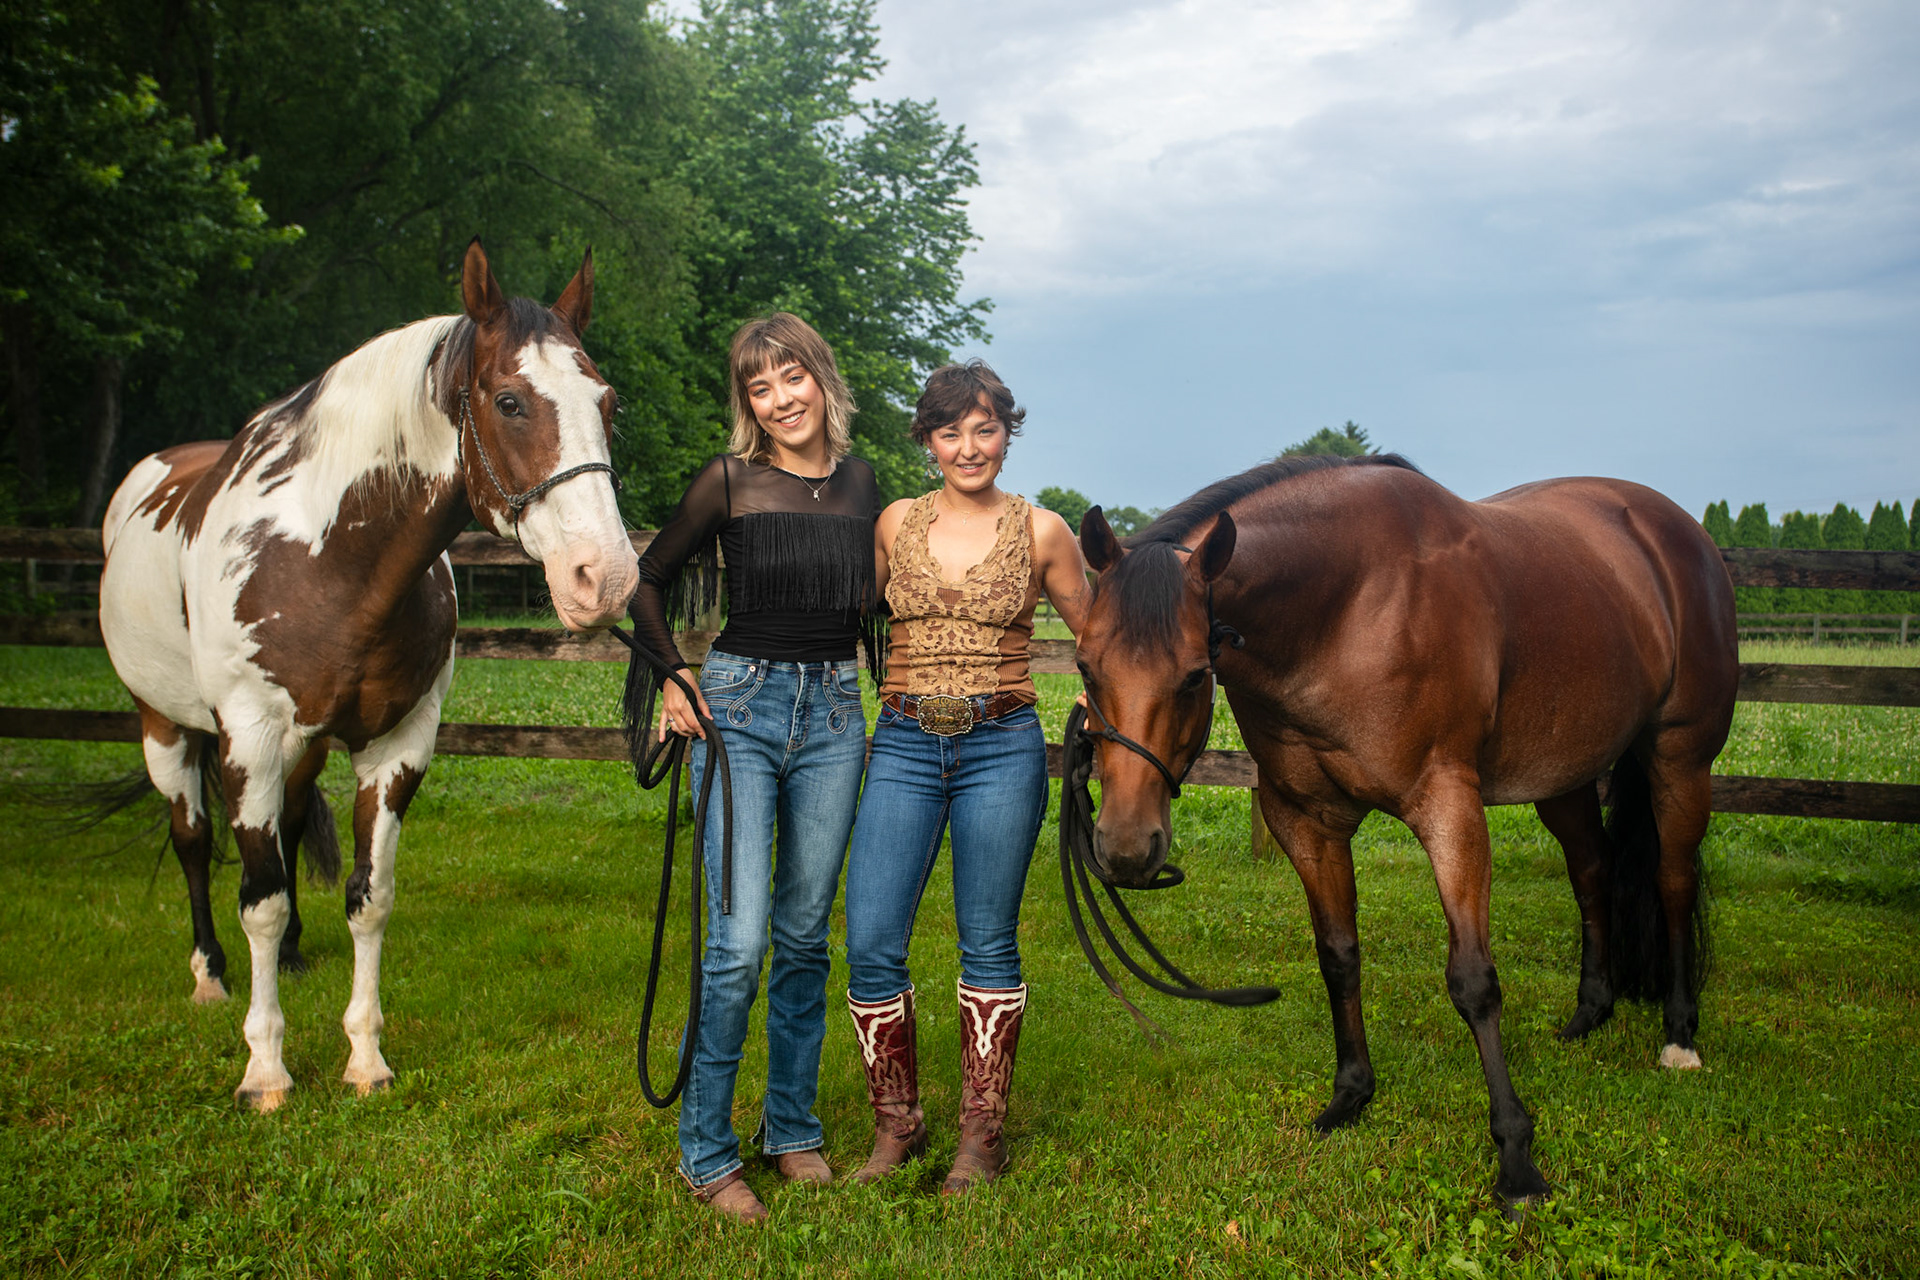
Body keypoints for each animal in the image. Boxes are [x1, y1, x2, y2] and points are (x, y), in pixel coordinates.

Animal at [97, 239, 638, 1111]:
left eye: (607, 401)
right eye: (510, 401)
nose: (607, 579)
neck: (332, 559)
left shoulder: (397, 745)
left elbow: (368, 897)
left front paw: (364, 1056)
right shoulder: (247, 737)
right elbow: (259, 899)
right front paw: (266, 1069)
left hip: (304, 745)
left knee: (284, 829)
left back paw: (288, 959)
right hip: (165, 725)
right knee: (194, 843)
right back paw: (210, 977)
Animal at [1069, 454, 1738, 1203]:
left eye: (1192, 677)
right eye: (1085, 665)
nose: (1127, 850)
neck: (1347, 611)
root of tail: (1679, 534)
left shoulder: (1448, 805)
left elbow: (1473, 981)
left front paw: (1516, 1158)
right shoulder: (1305, 821)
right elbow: (1338, 956)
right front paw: (1350, 1096)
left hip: (1680, 760)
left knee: (1673, 880)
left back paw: (1680, 1036)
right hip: (1564, 775)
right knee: (1591, 872)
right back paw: (1589, 1014)